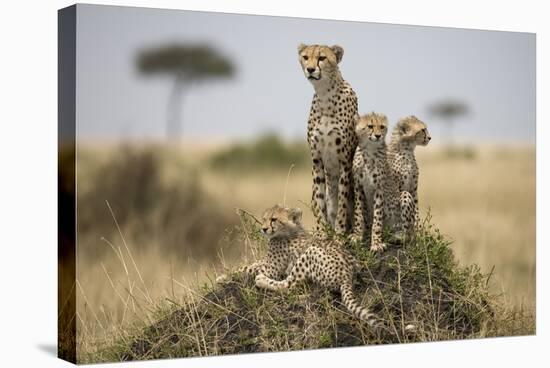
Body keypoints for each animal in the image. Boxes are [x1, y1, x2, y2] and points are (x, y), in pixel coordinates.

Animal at [300, 43, 360, 233]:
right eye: (305, 57)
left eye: (322, 58)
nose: (310, 69)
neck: (325, 94)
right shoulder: (317, 159)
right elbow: (321, 199)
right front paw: (322, 231)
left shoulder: (345, 161)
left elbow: (342, 199)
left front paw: (340, 231)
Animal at [354, 112, 414, 252]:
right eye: (370, 126)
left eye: (382, 127)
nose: (378, 135)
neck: (370, 150)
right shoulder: (358, 187)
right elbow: (358, 213)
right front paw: (357, 236)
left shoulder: (379, 189)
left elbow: (377, 219)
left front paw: (376, 243)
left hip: (405, 196)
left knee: (408, 234)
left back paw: (398, 237)